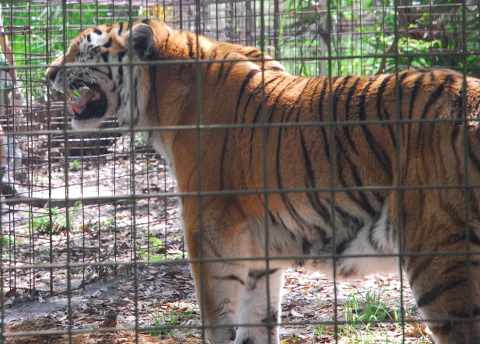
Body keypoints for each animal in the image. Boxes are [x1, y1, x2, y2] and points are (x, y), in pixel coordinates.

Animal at [47, 19, 480, 344]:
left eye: (82, 50)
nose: (48, 72)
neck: (160, 95)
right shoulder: (259, 248)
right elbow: (256, 321)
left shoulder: (210, 228)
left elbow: (217, 317)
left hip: (442, 256)